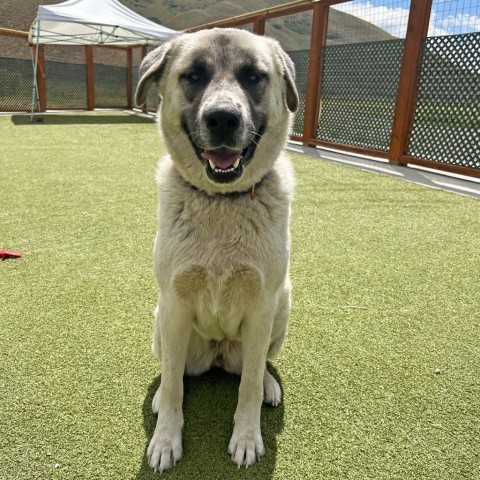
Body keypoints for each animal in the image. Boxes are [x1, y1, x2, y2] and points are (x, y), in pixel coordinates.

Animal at [135, 27, 298, 472]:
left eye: (254, 76)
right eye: (193, 75)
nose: (223, 118)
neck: (222, 201)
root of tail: (219, 354)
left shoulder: (261, 307)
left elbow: (249, 385)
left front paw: (247, 437)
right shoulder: (174, 302)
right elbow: (175, 386)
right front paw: (165, 439)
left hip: (283, 305)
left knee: (256, 370)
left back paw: (269, 386)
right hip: (162, 321)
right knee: (174, 373)